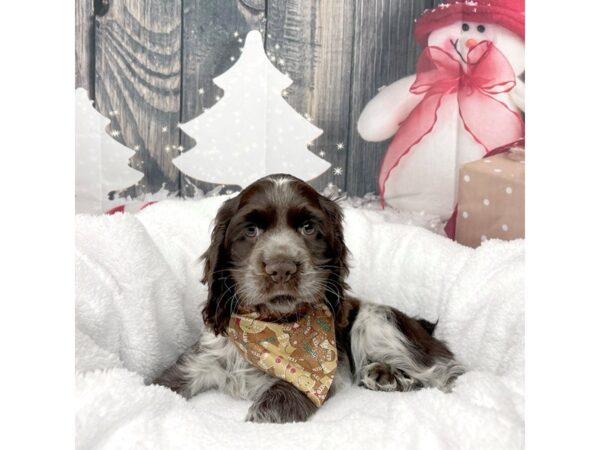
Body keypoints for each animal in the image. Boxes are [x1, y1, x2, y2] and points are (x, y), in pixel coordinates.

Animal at [156, 174, 464, 424]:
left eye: (308, 228)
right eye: (251, 230)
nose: (282, 268)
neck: (270, 326)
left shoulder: (311, 380)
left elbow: (271, 409)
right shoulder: (199, 360)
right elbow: (161, 385)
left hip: (378, 322)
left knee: (445, 372)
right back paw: (384, 376)